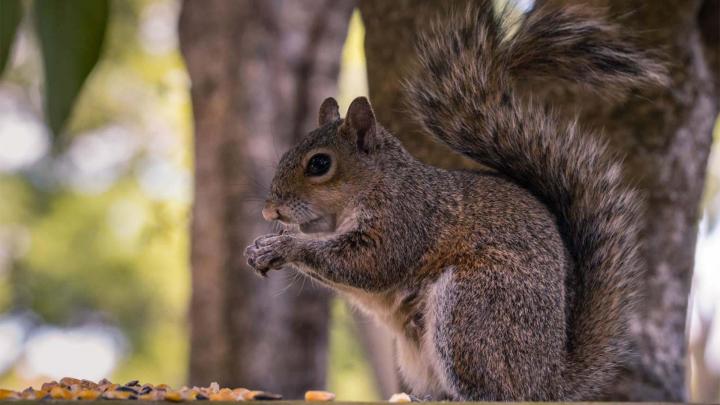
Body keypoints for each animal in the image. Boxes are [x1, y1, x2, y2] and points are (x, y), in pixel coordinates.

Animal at [245, 0, 668, 400]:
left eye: (319, 164)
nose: (269, 210)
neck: (375, 184)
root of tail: (546, 382)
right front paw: (260, 247)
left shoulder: (406, 218)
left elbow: (370, 263)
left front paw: (283, 245)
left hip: (474, 306)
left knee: (496, 392)